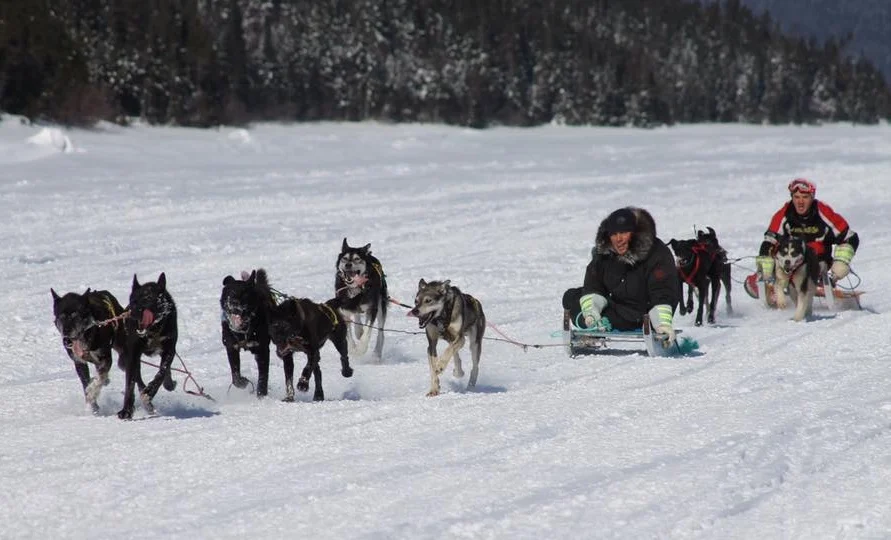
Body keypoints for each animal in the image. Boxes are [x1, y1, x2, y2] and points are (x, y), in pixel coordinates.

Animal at [118, 273, 178, 419]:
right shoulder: (132, 354)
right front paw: (126, 410)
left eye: (148, 298)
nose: (134, 311)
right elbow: (130, 384)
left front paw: (151, 391)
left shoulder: (169, 350)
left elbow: (162, 372)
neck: (153, 331)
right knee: (137, 379)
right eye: (133, 300)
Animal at [220, 269, 277, 397]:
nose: (234, 303)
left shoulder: (262, 350)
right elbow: (235, 375)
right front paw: (243, 382)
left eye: (244, 293)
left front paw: (261, 394)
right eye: (230, 292)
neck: (243, 331)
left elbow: (263, 376)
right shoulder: (231, 348)